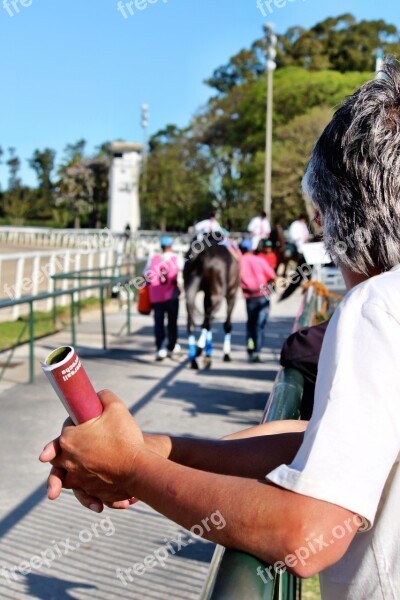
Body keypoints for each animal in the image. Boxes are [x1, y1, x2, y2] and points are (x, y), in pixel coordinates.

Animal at [183, 233, 239, 366]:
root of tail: (202, 253)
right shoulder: (231, 295)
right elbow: (227, 325)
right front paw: (226, 354)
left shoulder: (206, 296)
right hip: (218, 296)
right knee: (208, 322)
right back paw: (203, 354)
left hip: (191, 294)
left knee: (192, 323)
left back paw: (194, 359)